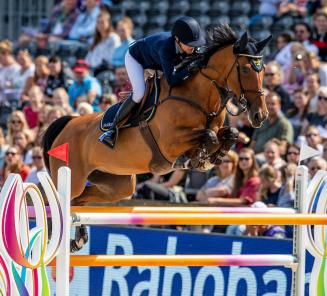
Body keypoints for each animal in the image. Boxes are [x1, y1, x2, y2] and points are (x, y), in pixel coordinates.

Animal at [42, 26, 270, 250]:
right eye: (245, 69)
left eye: (264, 70)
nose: (260, 115)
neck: (201, 98)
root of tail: (68, 123)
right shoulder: (170, 143)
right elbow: (209, 136)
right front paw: (196, 158)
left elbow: (228, 134)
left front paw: (211, 158)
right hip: (75, 178)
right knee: (58, 199)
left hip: (117, 185)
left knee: (79, 200)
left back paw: (78, 237)